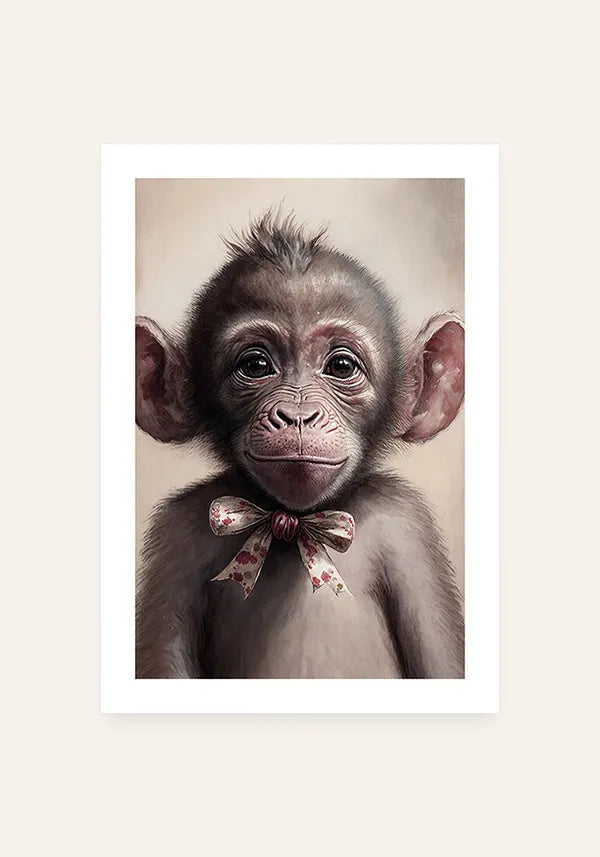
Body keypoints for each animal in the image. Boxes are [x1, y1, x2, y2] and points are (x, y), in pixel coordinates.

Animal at [135, 211, 465, 679]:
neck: (290, 521)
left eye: (341, 365)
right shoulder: (176, 532)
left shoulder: (406, 526)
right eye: (256, 365)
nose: (298, 415)